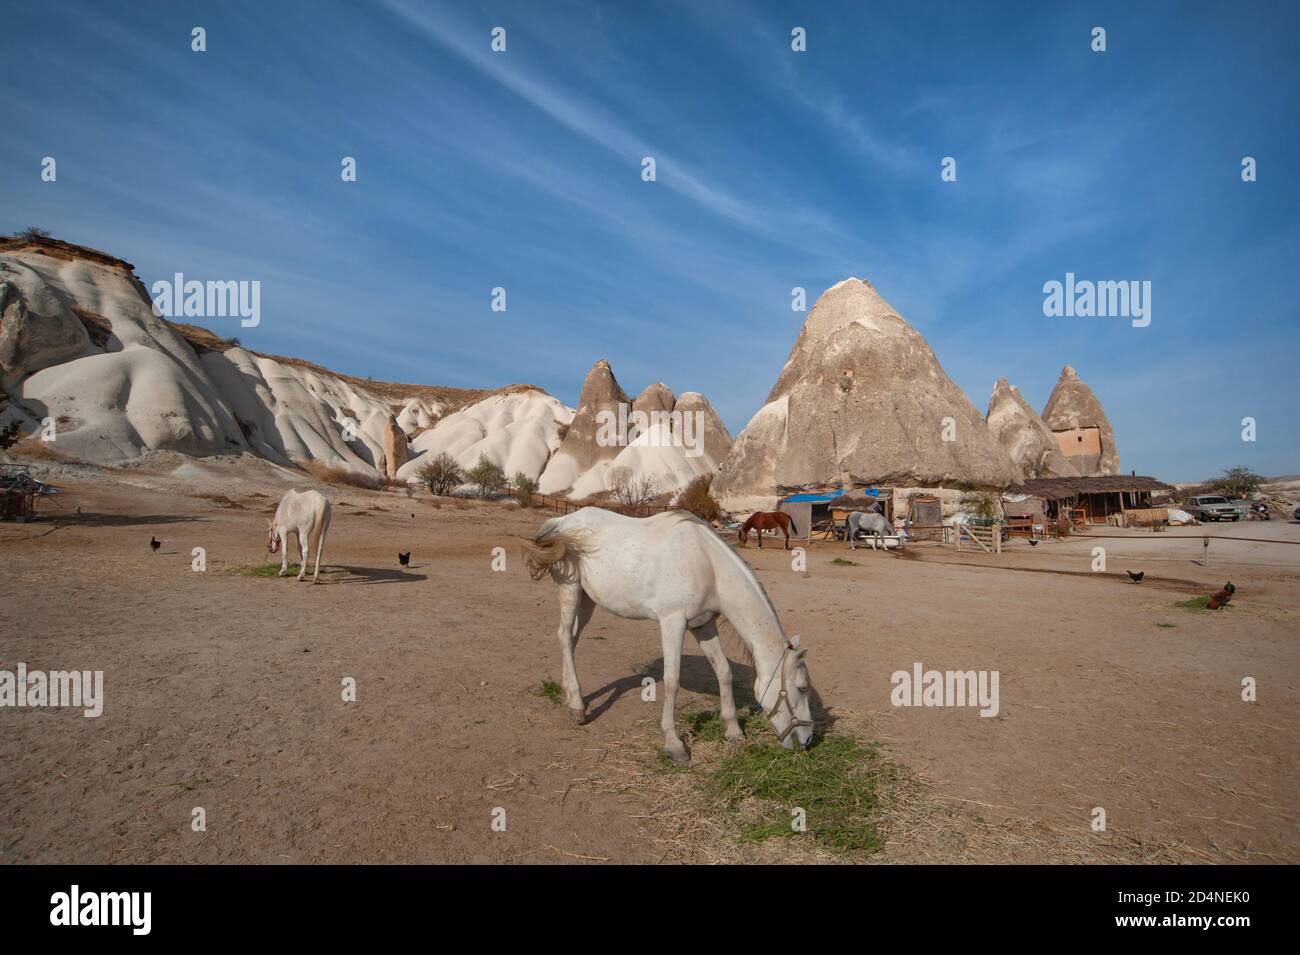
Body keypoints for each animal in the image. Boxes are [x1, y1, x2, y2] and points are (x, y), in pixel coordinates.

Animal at [521, 508, 814, 763]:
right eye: (801, 688)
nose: (808, 740)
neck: (706, 564)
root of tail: (562, 521)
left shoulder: (703, 625)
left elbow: (724, 671)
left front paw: (734, 731)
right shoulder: (672, 623)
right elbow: (672, 681)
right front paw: (674, 745)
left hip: (587, 600)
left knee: (571, 639)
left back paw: (570, 696)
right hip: (569, 589)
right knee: (564, 636)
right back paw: (578, 707)